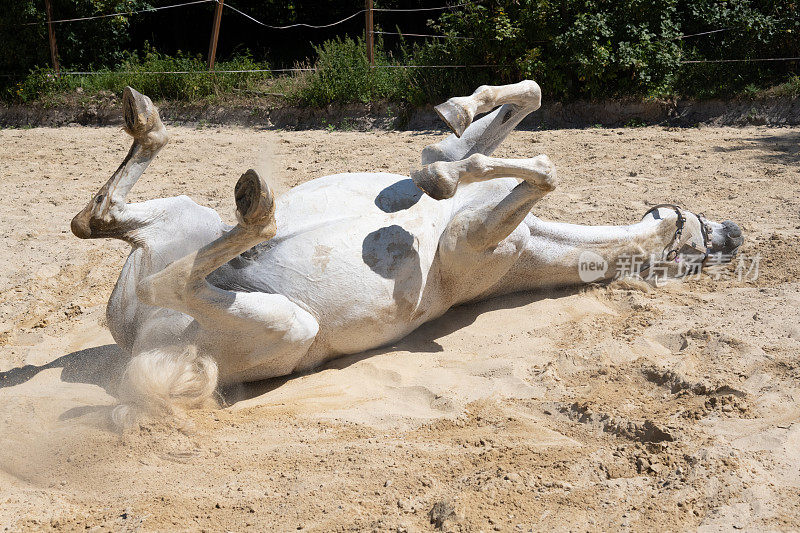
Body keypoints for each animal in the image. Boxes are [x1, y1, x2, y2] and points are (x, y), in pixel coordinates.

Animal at [72, 82, 740, 424]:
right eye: (701, 233)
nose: (732, 234)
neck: (531, 244)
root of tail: (143, 350)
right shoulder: (470, 208)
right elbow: (507, 114)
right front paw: (453, 127)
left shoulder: (473, 236)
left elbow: (535, 169)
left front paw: (447, 173)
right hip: (185, 222)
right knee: (96, 220)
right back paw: (152, 122)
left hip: (286, 326)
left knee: (151, 264)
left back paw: (255, 207)